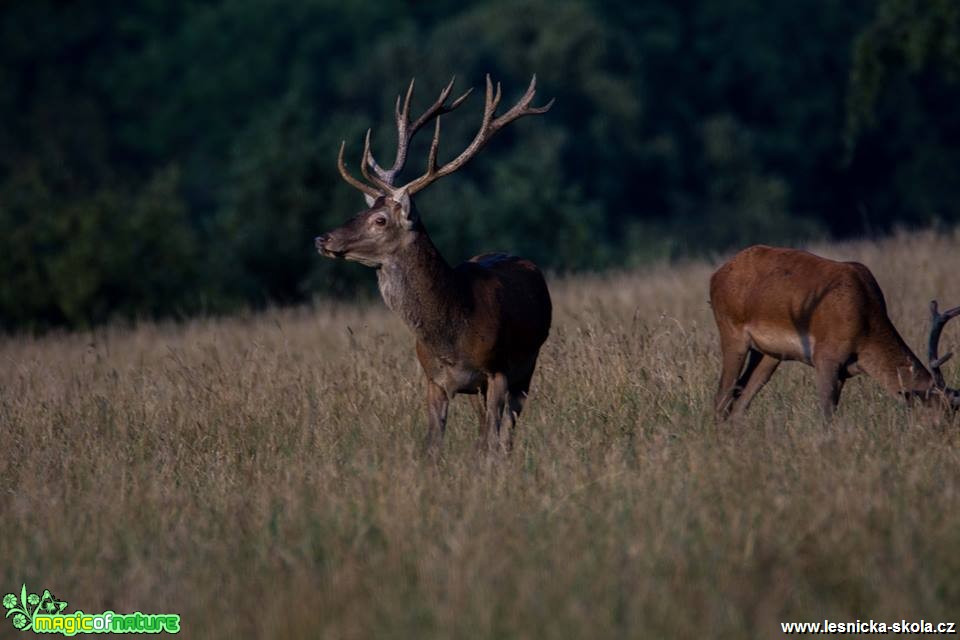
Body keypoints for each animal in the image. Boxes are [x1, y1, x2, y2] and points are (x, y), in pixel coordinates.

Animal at [316, 75, 552, 452]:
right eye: (362, 211)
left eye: (380, 220)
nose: (322, 239)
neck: (452, 334)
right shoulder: (434, 380)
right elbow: (433, 445)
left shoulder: (497, 370)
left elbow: (491, 443)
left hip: (527, 365)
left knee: (507, 430)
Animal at [708, 245, 956, 420]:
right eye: (939, 412)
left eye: (954, 412)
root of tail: (716, 276)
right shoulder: (826, 358)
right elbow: (827, 416)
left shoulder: (843, 371)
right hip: (733, 336)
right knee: (722, 397)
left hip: (769, 355)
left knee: (739, 401)